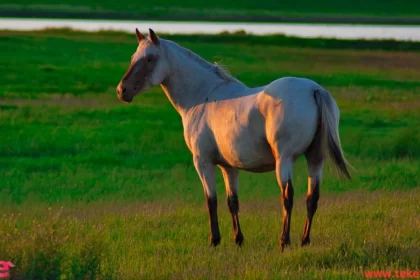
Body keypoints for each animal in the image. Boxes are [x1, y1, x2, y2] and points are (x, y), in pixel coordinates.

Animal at [115, 29, 352, 250]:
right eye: (134, 57)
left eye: (149, 59)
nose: (122, 90)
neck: (202, 96)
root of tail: (314, 90)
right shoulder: (228, 167)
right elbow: (232, 201)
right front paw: (238, 239)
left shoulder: (202, 162)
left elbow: (211, 200)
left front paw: (214, 240)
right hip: (316, 158)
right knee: (312, 197)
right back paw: (304, 241)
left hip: (284, 160)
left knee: (288, 196)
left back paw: (284, 241)